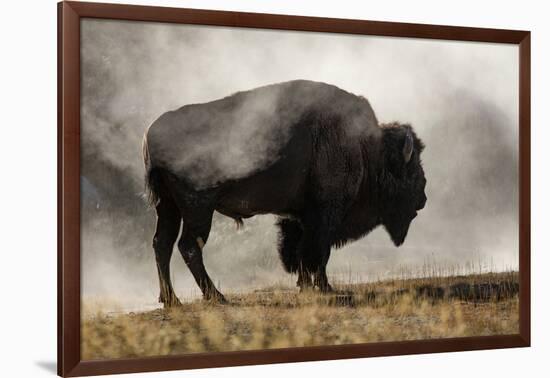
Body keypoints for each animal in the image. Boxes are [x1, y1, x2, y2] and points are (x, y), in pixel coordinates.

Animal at [142, 79, 426, 308]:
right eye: (410, 169)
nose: (423, 197)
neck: (365, 147)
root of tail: (151, 133)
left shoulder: (301, 216)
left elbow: (301, 250)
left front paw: (305, 285)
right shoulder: (325, 213)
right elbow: (318, 251)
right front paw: (324, 287)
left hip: (168, 206)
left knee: (162, 243)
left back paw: (171, 300)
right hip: (198, 208)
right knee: (189, 246)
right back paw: (216, 296)